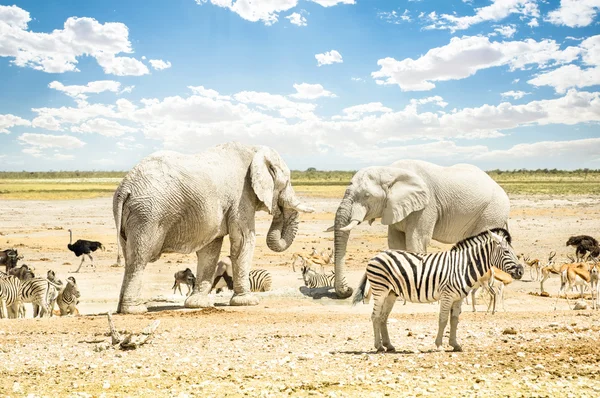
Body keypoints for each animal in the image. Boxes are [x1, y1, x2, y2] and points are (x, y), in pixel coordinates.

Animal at [110, 142, 314, 314]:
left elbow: (210, 249)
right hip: (148, 214)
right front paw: (247, 302)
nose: (278, 209)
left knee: (130, 258)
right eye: (286, 182)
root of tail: (125, 187)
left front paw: (197, 304)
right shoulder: (241, 198)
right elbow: (243, 241)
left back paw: (121, 309)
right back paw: (135, 310)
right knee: (139, 258)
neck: (254, 150)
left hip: (132, 216)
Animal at [330, 159, 508, 298]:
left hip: (492, 211)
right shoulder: (394, 208)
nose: (347, 290)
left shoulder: (426, 206)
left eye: (367, 196)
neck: (389, 171)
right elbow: (396, 242)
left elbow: (416, 240)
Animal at [354, 229, 524, 352]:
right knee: (375, 317)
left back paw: (389, 346)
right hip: (380, 290)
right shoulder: (447, 295)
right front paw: (439, 345)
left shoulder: (458, 297)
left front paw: (455, 345)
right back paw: (378, 346)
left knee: (383, 317)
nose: (521, 271)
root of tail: (376, 255)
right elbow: (443, 320)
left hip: (391, 293)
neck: (463, 266)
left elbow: (454, 320)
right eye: (506, 252)